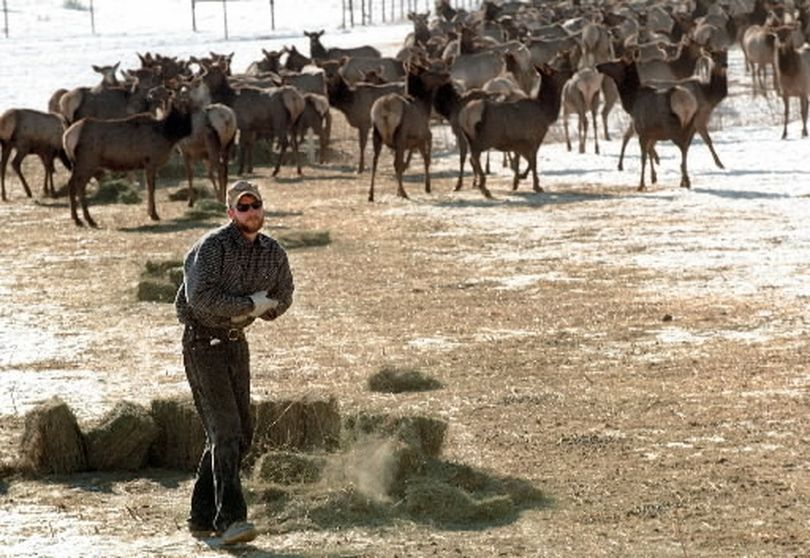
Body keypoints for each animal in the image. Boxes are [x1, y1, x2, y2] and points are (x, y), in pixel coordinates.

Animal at [62, 89, 194, 225]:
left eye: (188, 106)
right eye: (179, 108)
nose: (189, 129)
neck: (167, 134)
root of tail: (66, 136)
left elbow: (150, 188)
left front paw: (150, 213)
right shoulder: (150, 161)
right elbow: (151, 188)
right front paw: (154, 214)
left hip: (77, 164)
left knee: (71, 183)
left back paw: (76, 218)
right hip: (87, 163)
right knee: (79, 185)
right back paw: (89, 219)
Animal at [370, 59, 452, 202]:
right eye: (429, 71)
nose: (447, 75)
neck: (425, 108)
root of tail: (385, 109)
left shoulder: (413, 140)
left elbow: (408, 160)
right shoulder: (424, 136)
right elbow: (426, 159)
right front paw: (427, 187)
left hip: (377, 134)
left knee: (375, 162)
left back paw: (371, 194)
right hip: (400, 134)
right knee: (397, 163)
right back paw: (403, 192)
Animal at [458, 63, 572, 199]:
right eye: (555, 71)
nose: (571, 71)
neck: (546, 113)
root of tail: (465, 116)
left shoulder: (519, 143)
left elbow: (521, 160)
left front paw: (517, 181)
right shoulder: (534, 138)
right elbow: (533, 162)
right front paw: (535, 184)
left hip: (468, 137)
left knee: (472, 156)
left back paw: (480, 185)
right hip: (485, 138)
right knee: (475, 156)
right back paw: (484, 187)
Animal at [596, 56, 696, 192]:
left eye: (614, 62)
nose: (598, 66)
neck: (631, 102)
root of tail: (686, 104)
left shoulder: (642, 131)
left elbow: (643, 158)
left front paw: (641, 184)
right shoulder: (652, 133)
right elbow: (650, 152)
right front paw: (653, 177)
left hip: (674, 128)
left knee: (683, 148)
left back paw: (686, 180)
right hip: (690, 125)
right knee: (686, 149)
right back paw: (684, 180)